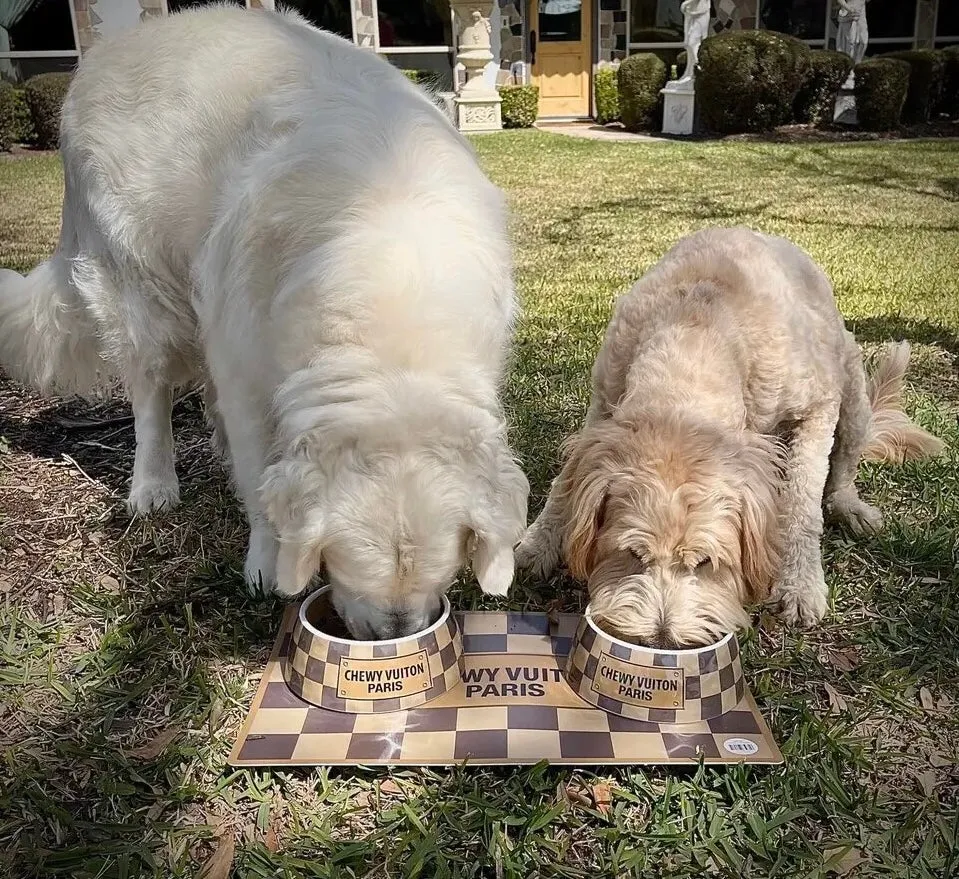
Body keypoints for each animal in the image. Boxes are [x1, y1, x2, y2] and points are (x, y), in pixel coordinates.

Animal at [0, 6, 532, 640]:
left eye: (441, 572)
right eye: (344, 564)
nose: (394, 637)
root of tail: (112, 47)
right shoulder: (248, 365)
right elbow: (257, 472)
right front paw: (266, 563)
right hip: (140, 288)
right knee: (151, 395)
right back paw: (153, 485)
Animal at [516, 229, 944, 648]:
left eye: (706, 563)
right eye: (633, 553)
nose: (662, 638)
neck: (698, 328)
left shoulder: (817, 408)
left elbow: (801, 501)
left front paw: (800, 584)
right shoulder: (604, 401)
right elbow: (565, 481)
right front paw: (539, 542)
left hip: (852, 398)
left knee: (840, 472)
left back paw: (849, 506)